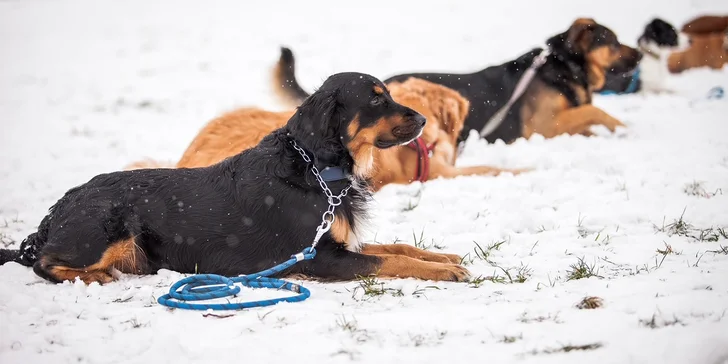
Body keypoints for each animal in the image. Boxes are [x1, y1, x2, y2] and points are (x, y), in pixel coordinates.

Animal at [1, 72, 472, 284]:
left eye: (388, 94)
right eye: (375, 100)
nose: (424, 119)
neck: (316, 167)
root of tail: (51, 217)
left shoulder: (335, 243)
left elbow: (399, 246)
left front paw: (445, 258)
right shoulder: (319, 257)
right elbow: (390, 260)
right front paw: (444, 271)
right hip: (109, 226)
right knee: (44, 263)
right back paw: (95, 277)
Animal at [274, 18, 644, 144]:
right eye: (613, 42)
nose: (641, 53)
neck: (564, 67)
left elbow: (587, 117)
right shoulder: (542, 125)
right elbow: (594, 112)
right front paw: (621, 126)